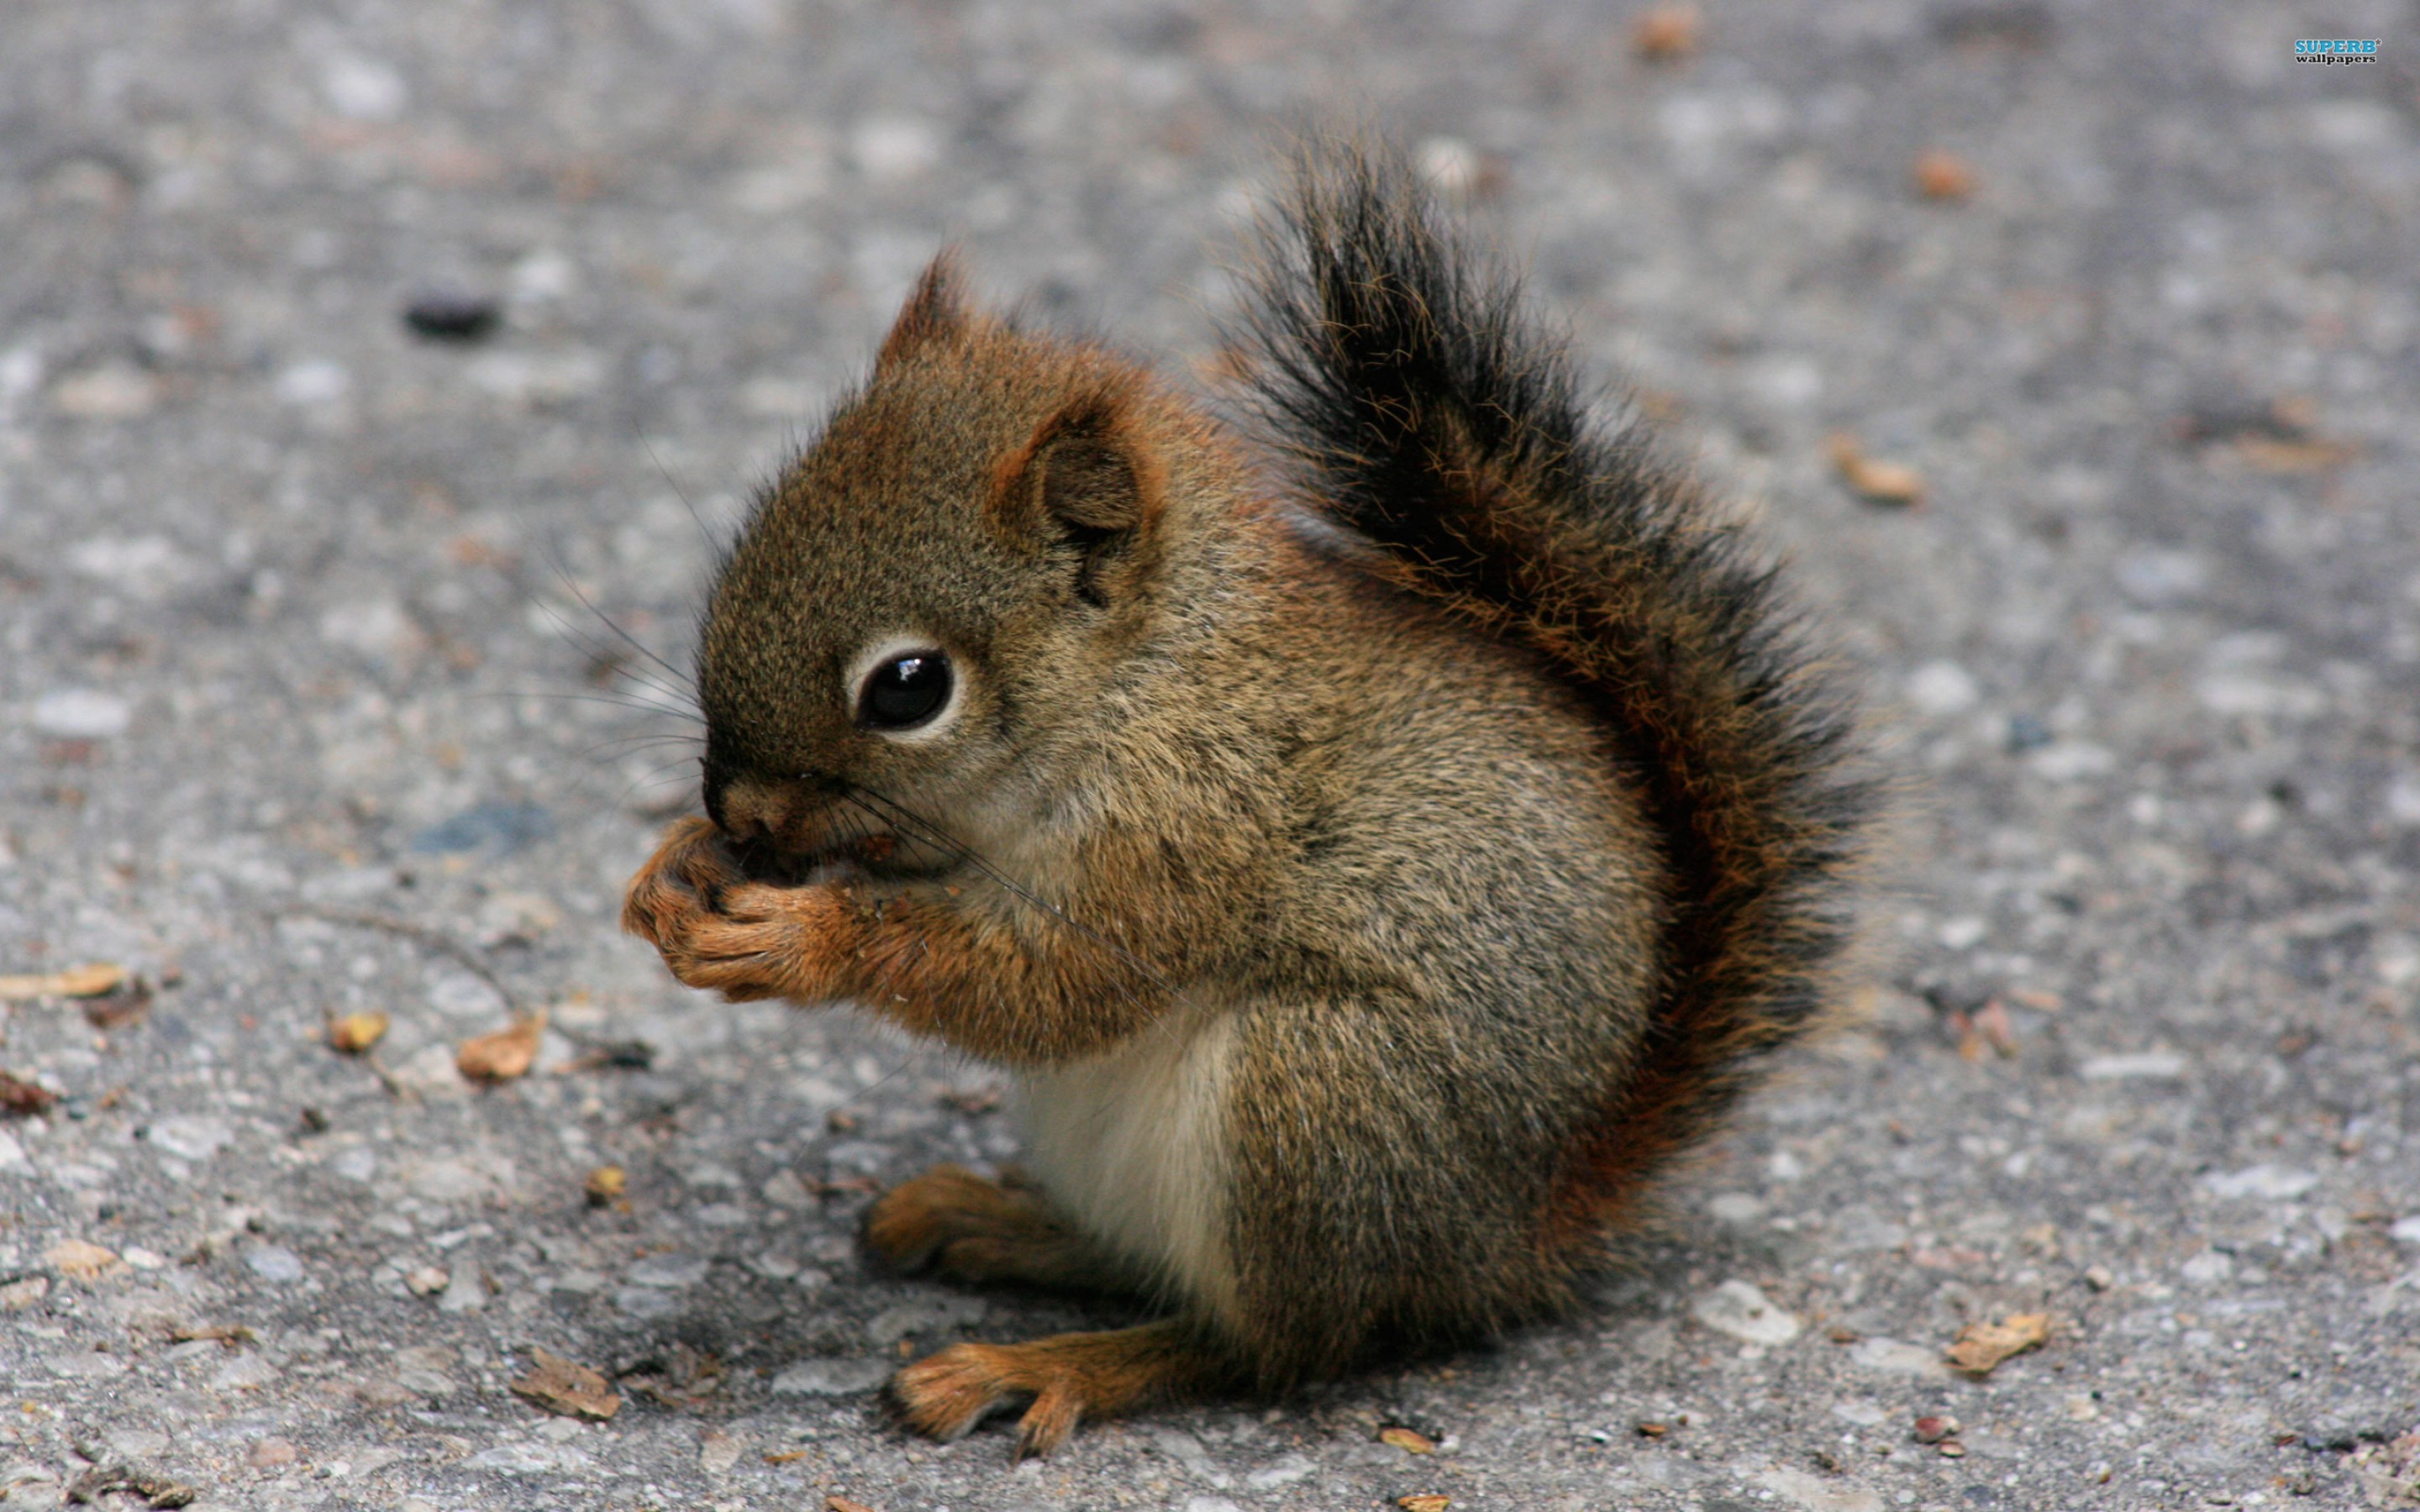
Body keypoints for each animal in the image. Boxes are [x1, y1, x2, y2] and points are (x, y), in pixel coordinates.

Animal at [621, 142, 1870, 1457]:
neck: (1146, 682)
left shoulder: (1189, 829)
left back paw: (1049, 1363)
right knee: (1147, 1265)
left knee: (1268, 1346)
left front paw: (799, 937)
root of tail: (1509, 1240)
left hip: (1316, 1101)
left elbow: (1057, 983)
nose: (742, 814)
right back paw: (997, 1222)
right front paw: (673, 871)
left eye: (909, 688)